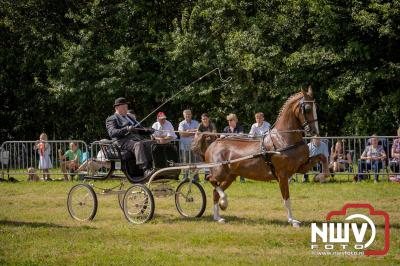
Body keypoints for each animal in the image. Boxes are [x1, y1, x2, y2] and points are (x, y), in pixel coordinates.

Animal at [193, 87, 328, 227]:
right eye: (307, 108)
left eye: (315, 107)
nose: (315, 132)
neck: (284, 138)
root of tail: (213, 144)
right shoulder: (282, 174)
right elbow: (286, 197)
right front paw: (292, 220)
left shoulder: (301, 167)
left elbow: (322, 157)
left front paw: (322, 175)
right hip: (220, 172)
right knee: (210, 179)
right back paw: (224, 202)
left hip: (230, 176)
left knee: (215, 191)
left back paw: (218, 217)